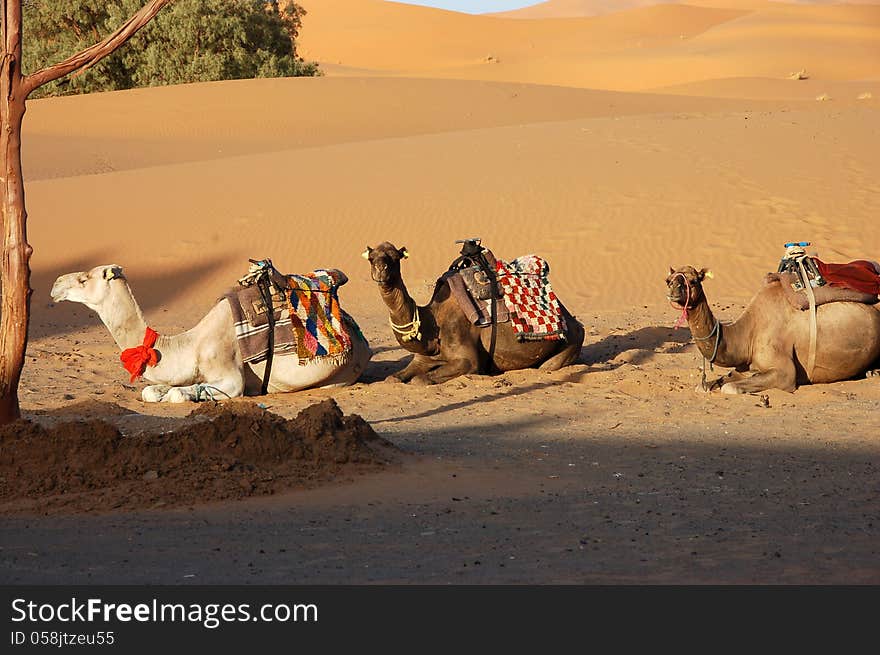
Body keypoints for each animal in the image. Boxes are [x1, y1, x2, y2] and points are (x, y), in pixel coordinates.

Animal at [52, 264, 368, 402]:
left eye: (84, 279)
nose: (55, 284)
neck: (189, 345)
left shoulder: (229, 375)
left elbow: (178, 395)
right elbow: (151, 390)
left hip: (339, 374)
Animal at [364, 242, 584, 384]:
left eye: (395, 258)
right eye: (371, 259)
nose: (381, 270)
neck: (432, 324)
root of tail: (575, 322)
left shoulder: (467, 360)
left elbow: (421, 380)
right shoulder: (423, 358)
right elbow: (392, 378)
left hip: (570, 344)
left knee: (547, 366)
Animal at [668, 266, 880, 394]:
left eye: (693, 281)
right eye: (668, 280)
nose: (673, 291)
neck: (748, 333)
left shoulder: (785, 373)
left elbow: (730, 388)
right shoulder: (745, 366)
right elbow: (705, 385)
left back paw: (873, 372)